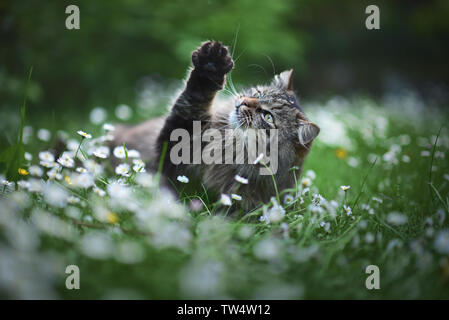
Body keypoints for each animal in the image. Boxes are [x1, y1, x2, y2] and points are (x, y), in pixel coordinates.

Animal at [114, 41, 320, 211]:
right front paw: (211, 64)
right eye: (258, 94)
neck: (226, 147)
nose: (244, 102)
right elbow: (194, 98)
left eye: (268, 116)